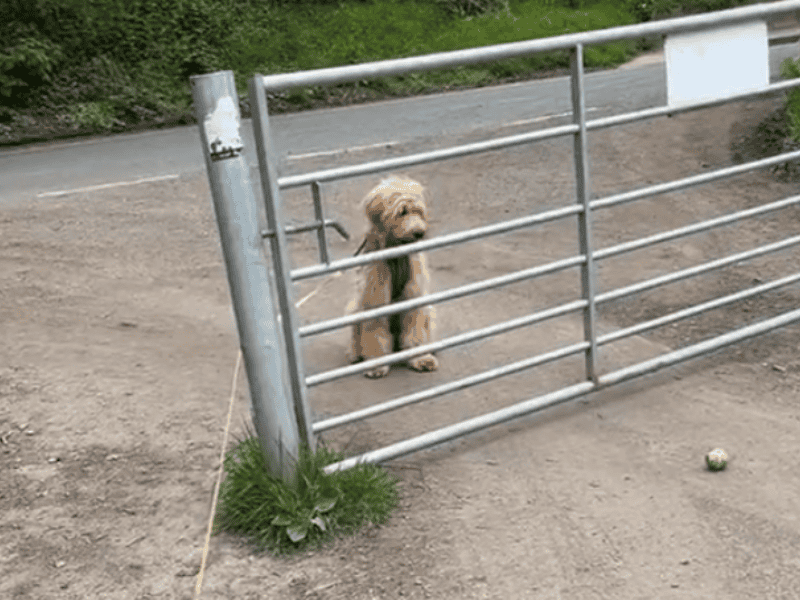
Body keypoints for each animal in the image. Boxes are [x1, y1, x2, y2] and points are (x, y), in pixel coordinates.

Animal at [350, 176, 438, 378]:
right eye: (402, 212)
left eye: (418, 211)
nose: (420, 233)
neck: (397, 255)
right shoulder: (375, 297)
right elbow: (374, 332)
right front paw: (376, 364)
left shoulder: (414, 296)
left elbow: (415, 329)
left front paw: (420, 358)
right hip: (355, 309)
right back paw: (356, 356)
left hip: (429, 310)